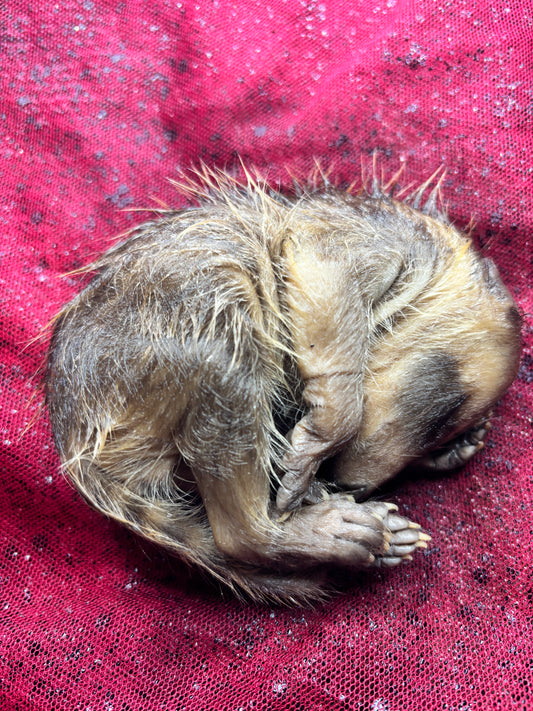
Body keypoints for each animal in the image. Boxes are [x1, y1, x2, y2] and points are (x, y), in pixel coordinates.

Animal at [45, 172, 520, 608]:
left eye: (437, 440)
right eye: (442, 413)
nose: (351, 485)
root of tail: (74, 433)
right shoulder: (369, 236)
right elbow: (326, 270)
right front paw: (321, 437)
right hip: (189, 329)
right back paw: (321, 527)